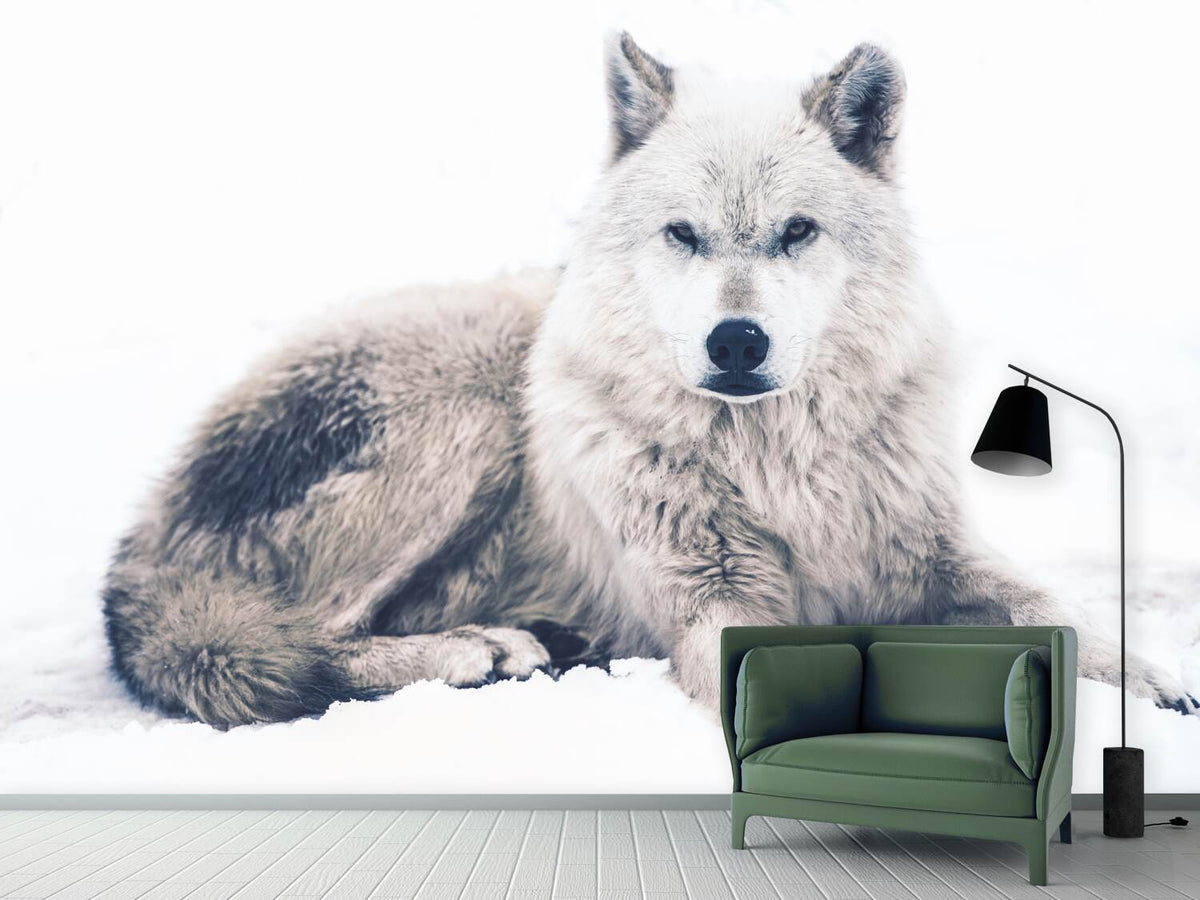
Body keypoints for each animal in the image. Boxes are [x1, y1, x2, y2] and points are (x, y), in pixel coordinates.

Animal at [103, 34, 1194, 728]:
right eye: (683, 234)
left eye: (797, 231)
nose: (737, 341)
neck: (781, 470)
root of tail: (138, 553)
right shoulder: (720, 604)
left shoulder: (931, 560)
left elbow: (1059, 614)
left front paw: (1158, 686)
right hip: (465, 412)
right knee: (298, 643)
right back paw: (481, 651)